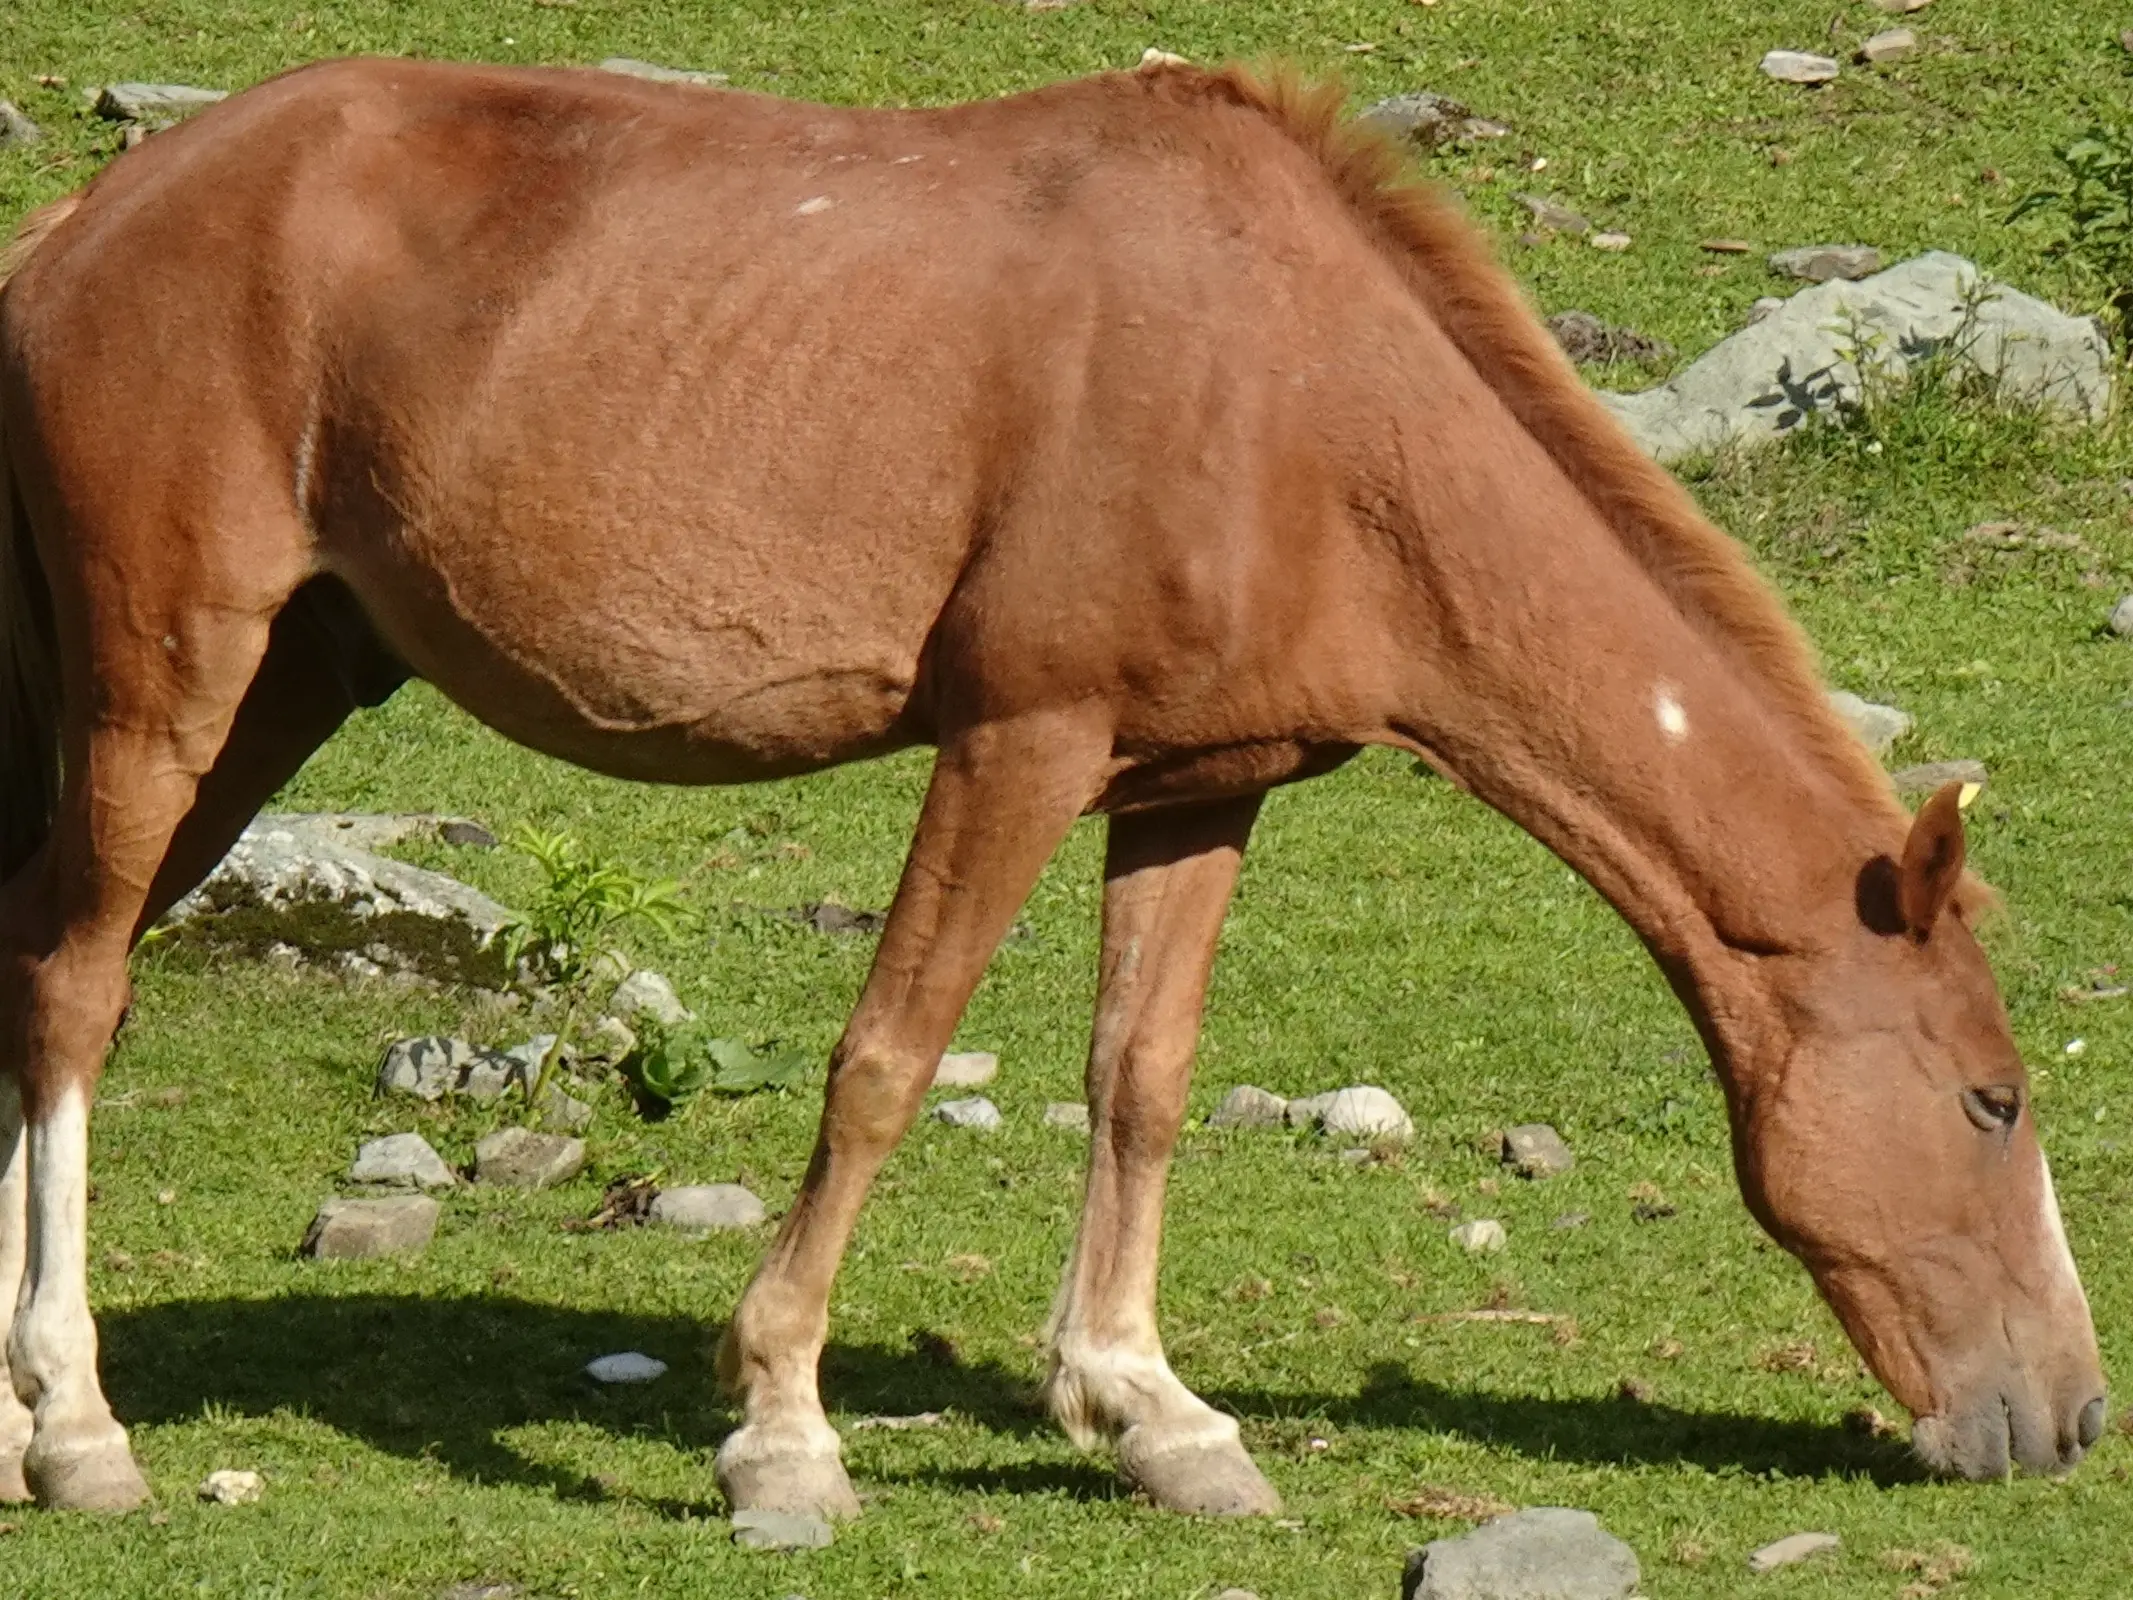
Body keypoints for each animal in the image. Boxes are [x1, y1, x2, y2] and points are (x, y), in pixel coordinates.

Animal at [0, 59, 2098, 1518]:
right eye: (1988, 1100)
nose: (2069, 1418)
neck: (1303, 396)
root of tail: (82, 224)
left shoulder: (1196, 786)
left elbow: (1138, 1083)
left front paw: (1146, 1409)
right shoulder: (1021, 740)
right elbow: (883, 1064)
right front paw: (782, 1434)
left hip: (278, 689)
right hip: (169, 679)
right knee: (78, 990)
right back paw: (81, 1426)